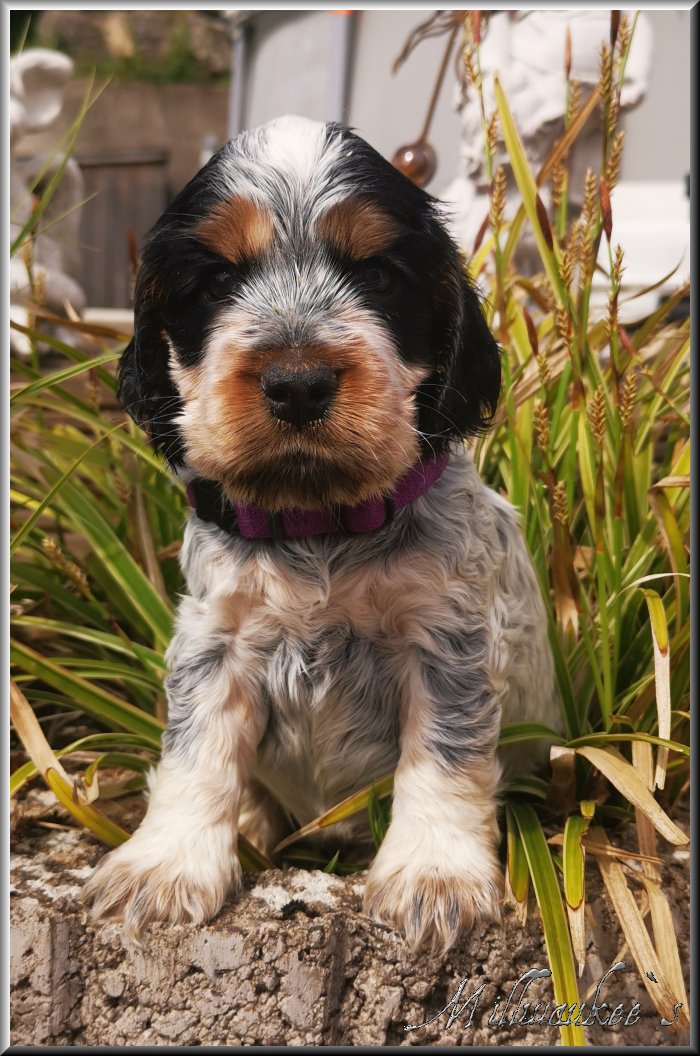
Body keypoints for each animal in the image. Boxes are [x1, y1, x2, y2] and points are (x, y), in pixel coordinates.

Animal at [82, 115, 560, 953]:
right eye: (216, 282)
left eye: (377, 277)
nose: (298, 383)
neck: (318, 521)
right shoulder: (214, 641)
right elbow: (195, 754)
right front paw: (163, 865)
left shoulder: (450, 644)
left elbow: (444, 756)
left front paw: (433, 874)